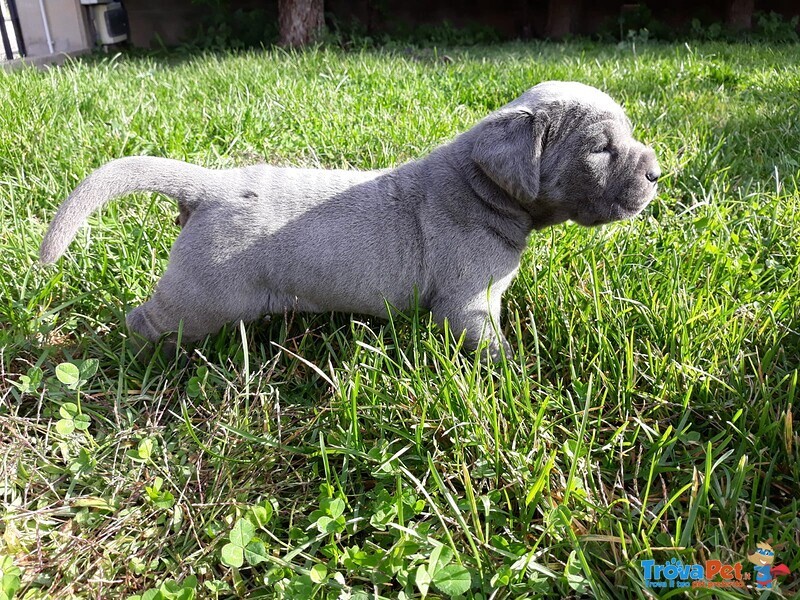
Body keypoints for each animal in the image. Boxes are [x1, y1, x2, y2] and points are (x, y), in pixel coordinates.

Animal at [40, 82, 660, 358]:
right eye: (602, 149)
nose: (657, 174)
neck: (481, 188)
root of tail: (209, 187)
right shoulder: (468, 305)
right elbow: (492, 349)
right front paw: (517, 378)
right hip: (199, 297)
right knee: (144, 320)